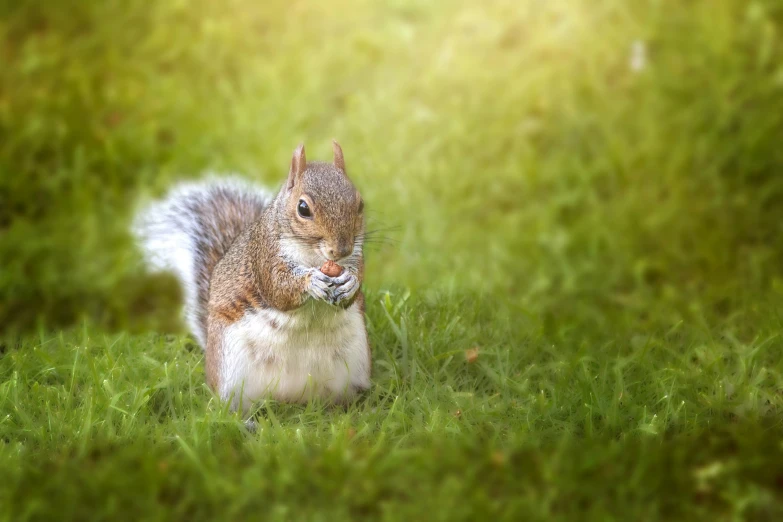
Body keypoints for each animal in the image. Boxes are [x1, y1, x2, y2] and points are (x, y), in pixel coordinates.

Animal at [134, 141, 370, 406]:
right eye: (303, 208)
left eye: (360, 204)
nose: (342, 249)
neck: (314, 257)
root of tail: (291, 398)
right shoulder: (264, 258)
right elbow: (279, 289)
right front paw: (312, 281)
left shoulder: (357, 257)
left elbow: (353, 286)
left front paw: (350, 282)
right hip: (230, 370)